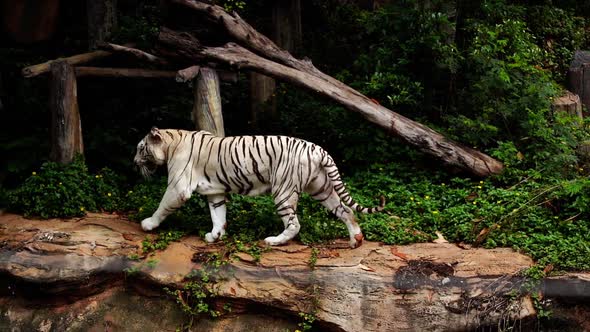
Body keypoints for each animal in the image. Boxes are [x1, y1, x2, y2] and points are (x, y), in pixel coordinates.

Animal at [133, 127, 388, 249]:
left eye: (141, 148)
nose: (134, 163)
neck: (171, 142)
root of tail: (318, 149)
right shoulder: (215, 191)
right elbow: (218, 214)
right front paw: (215, 236)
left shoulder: (179, 187)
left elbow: (163, 205)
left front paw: (148, 224)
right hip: (322, 188)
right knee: (346, 210)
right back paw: (356, 240)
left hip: (283, 191)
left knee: (294, 224)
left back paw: (274, 241)